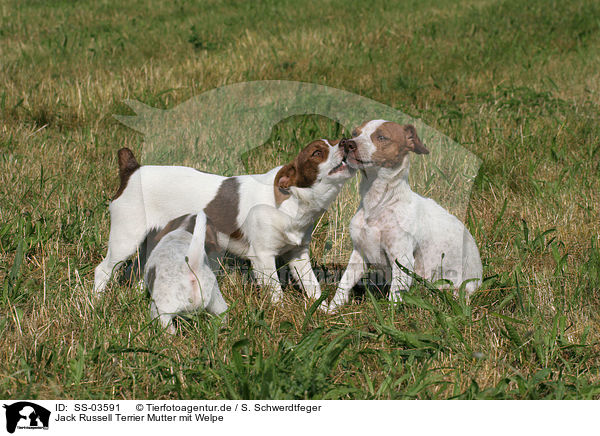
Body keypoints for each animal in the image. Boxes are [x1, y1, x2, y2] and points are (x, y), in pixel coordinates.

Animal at [95, 140, 354, 304]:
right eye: (317, 153)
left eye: (334, 141)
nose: (345, 142)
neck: (292, 200)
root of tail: (132, 171)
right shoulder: (262, 257)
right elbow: (275, 292)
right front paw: (279, 313)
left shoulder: (298, 255)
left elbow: (312, 287)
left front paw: (322, 311)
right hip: (125, 238)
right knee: (103, 271)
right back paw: (96, 304)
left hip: (152, 239)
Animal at [324, 119, 482, 310]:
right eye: (355, 133)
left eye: (382, 137)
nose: (348, 144)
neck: (378, 204)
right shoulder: (359, 254)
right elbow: (344, 284)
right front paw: (332, 309)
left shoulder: (402, 260)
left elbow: (394, 297)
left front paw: (389, 316)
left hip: (456, 288)